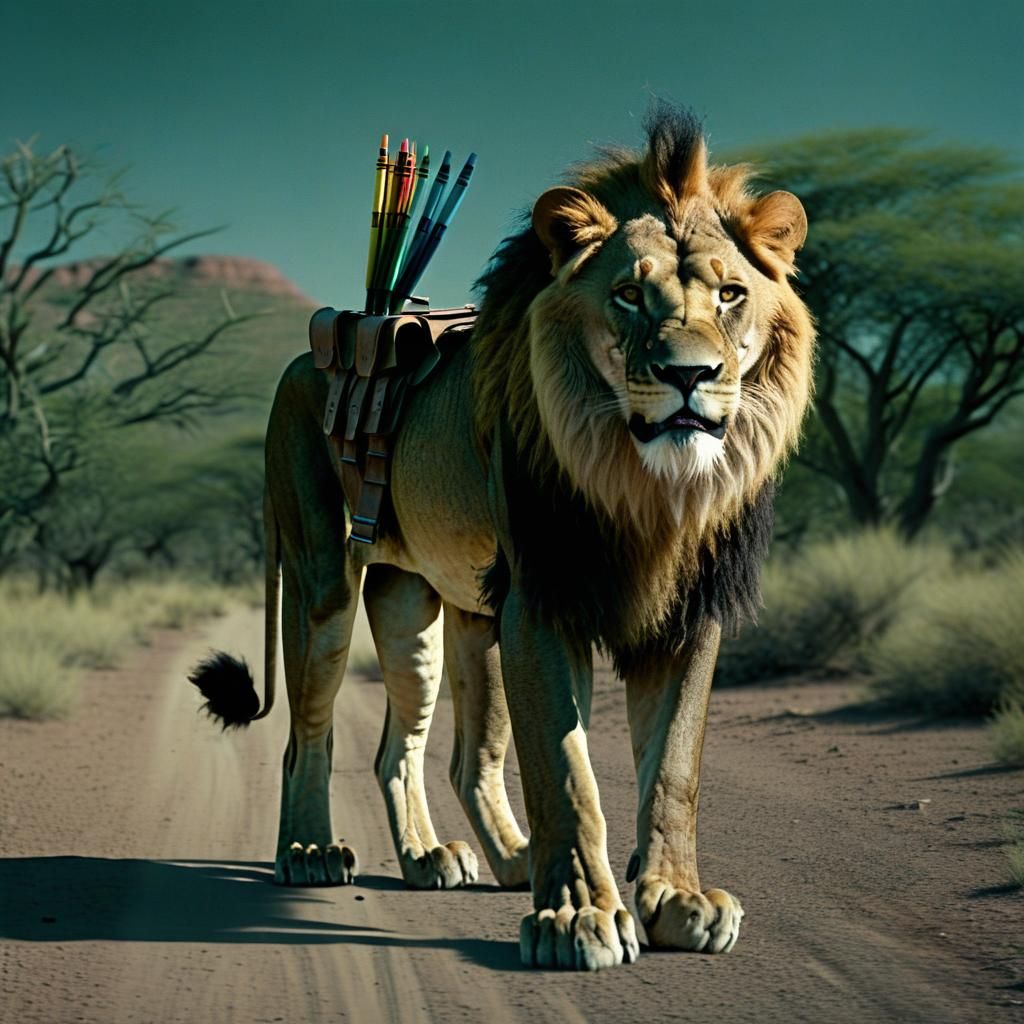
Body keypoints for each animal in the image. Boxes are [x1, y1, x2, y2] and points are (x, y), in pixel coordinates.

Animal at [190, 105, 814, 971]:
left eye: (730, 295)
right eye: (628, 294)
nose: (690, 375)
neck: (647, 486)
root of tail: (300, 358)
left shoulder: (690, 612)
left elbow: (673, 769)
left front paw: (676, 900)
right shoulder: (542, 597)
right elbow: (566, 769)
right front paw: (580, 918)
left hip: (433, 610)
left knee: (429, 754)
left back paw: (460, 858)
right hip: (324, 582)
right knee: (308, 735)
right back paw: (312, 852)